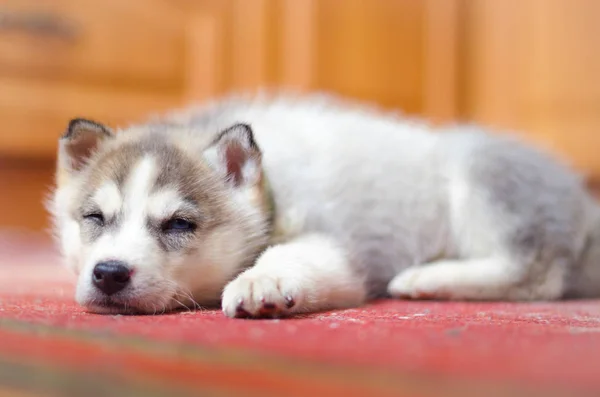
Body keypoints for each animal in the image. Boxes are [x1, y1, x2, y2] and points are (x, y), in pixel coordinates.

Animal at [48, 92, 600, 316]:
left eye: (179, 224)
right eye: (94, 217)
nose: (109, 273)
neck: (273, 186)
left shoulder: (331, 245)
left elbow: (292, 256)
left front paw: (262, 281)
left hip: (480, 171)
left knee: (536, 273)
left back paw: (426, 277)